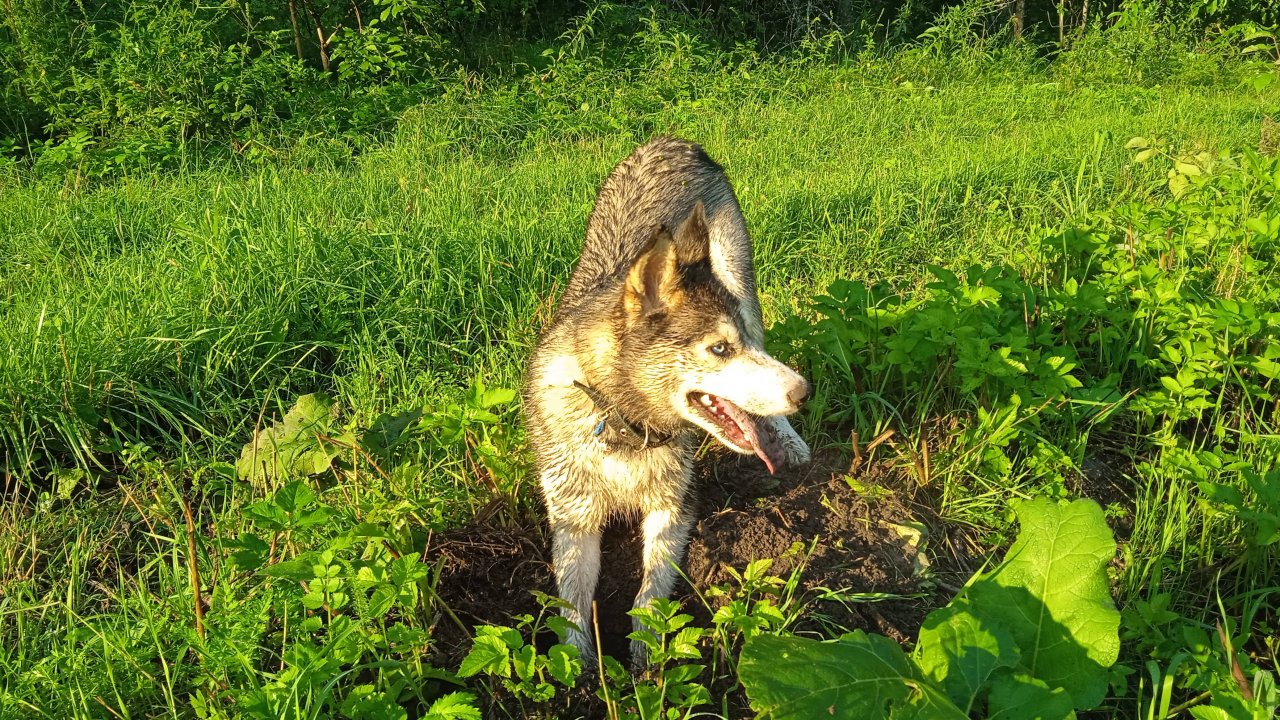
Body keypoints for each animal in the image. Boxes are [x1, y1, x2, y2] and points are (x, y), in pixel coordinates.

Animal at [522, 135, 808, 661]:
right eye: (719, 349)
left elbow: (651, 591)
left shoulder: (675, 507)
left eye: (736, 345)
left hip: (741, 281)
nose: (803, 392)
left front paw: (646, 654)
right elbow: (572, 599)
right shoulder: (573, 517)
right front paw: (578, 664)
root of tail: (672, 141)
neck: (622, 425)